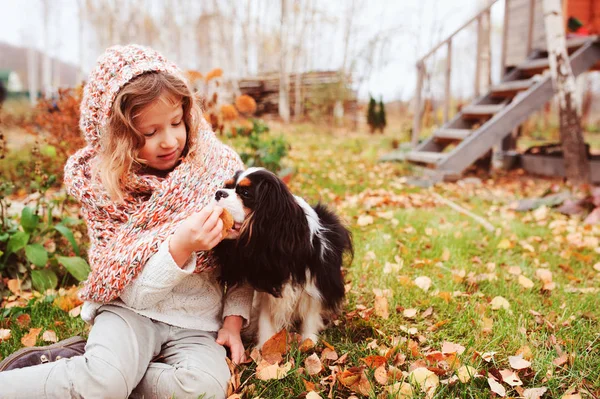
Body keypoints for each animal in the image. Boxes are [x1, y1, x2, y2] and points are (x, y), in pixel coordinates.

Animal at [213, 167, 352, 348]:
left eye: (245, 193)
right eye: (227, 186)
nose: (218, 193)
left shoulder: (314, 282)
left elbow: (310, 315)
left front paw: (309, 342)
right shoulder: (266, 282)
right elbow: (265, 318)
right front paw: (264, 347)